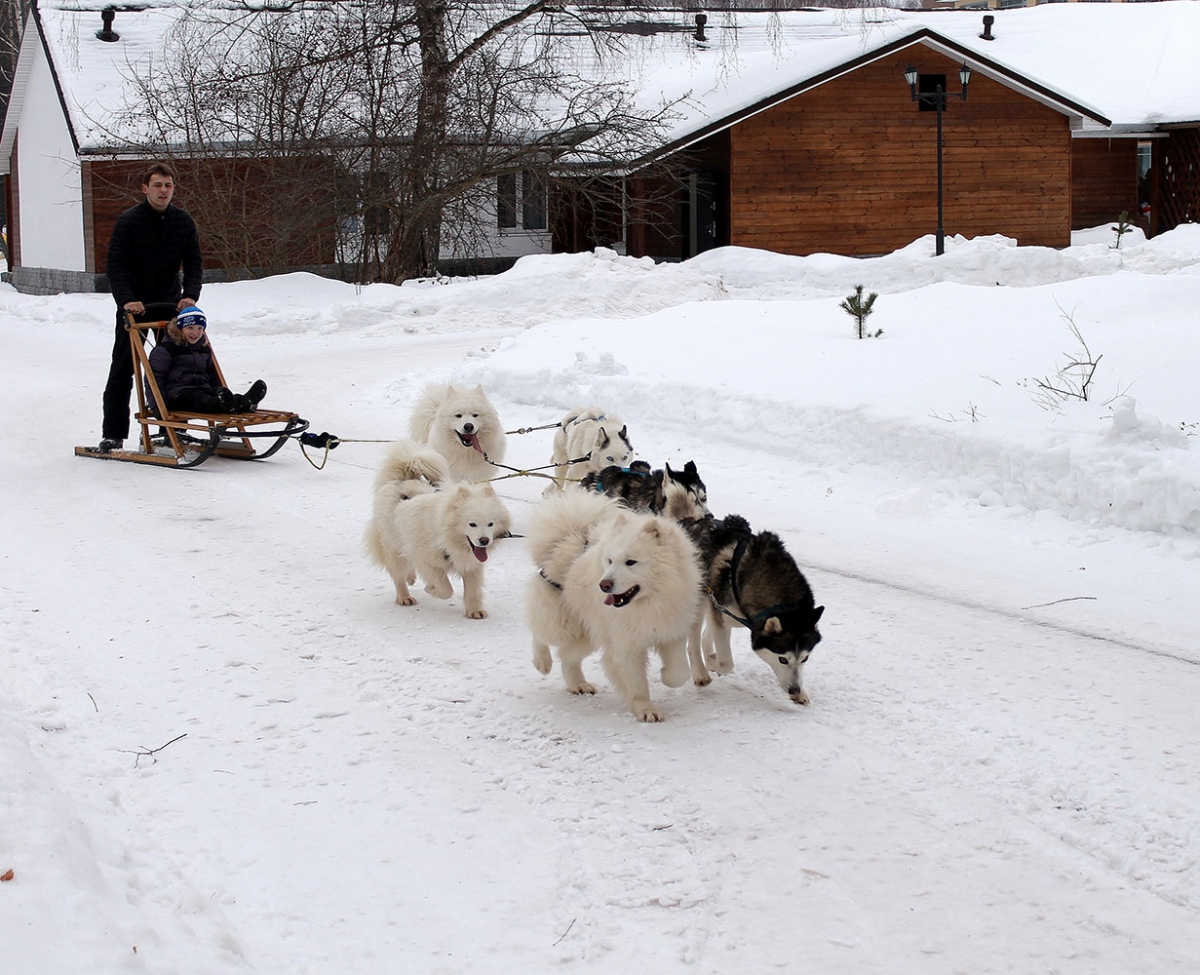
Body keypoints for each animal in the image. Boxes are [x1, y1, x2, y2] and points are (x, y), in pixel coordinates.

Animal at [365, 440, 511, 618]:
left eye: (491, 524)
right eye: (472, 524)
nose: (484, 541)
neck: (447, 536)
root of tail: (402, 481)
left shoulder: (471, 565)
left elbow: (472, 591)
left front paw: (474, 611)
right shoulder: (427, 560)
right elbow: (446, 589)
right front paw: (430, 589)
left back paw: (411, 578)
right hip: (393, 546)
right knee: (398, 576)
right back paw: (405, 597)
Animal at [542, 505, 701, 722]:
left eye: (631, 562)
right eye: (610, 561)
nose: (604, 585)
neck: (649, 602)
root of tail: (570, 539)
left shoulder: (671, 632)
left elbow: (680, 671)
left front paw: (666, 676)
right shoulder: (627, 644)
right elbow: (637, 683)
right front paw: (646, 710)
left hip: (588, 636)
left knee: (567, 655)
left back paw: (578, 685)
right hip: (561, 624)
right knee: (540, 637)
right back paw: (542, 662)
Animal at [682, 514, 824, 705]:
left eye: (805, 658)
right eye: (782, 659)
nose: (795, 689)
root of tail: (692, 522)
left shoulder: (727, 615)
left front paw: (801, 693)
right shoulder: (720, 611)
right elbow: (726, 662)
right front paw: (712, 661)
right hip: (701, 599)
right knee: (693, 642)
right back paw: (701, 672)